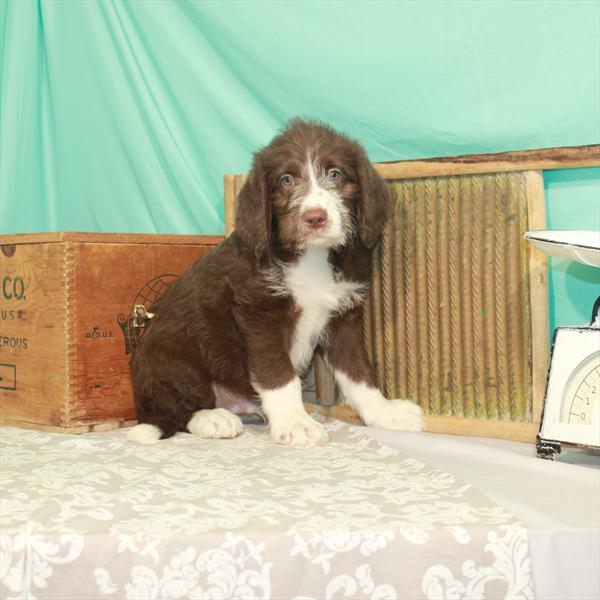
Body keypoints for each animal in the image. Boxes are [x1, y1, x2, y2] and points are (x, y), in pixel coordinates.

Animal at [129, 118, 424, 446]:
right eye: (286, 180)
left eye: (335, 174)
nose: (315, 218)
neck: (309, 257)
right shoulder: (260, 313)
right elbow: (278, 374)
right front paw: (295, 422)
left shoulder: (342, 316)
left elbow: (358, 372)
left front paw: (385, 413)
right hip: (171, 347)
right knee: (174, 409)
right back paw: (212, 418)